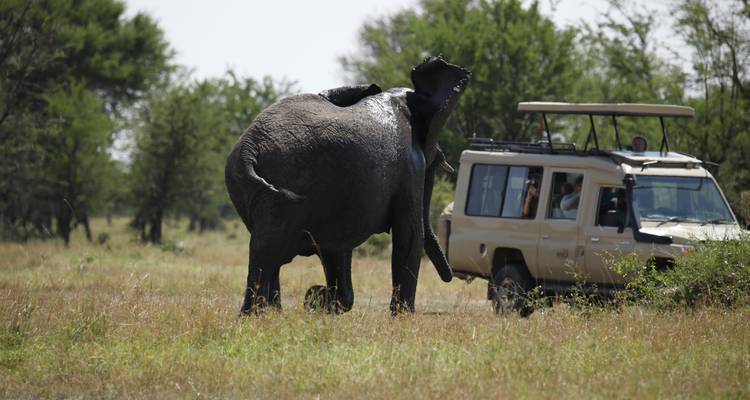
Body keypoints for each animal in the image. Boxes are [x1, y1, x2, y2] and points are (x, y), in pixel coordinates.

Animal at [225, 55, 471, 314]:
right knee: (270, 248)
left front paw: (321, 300)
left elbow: (338, 249)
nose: (451, 276)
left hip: (246, 186)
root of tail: (249, 148)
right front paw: (403, 318)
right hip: (287, 178)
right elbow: (411, 235)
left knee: (265, 247)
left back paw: (268, 315)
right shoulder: (410, 168)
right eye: (435, 158)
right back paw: (255, 316)